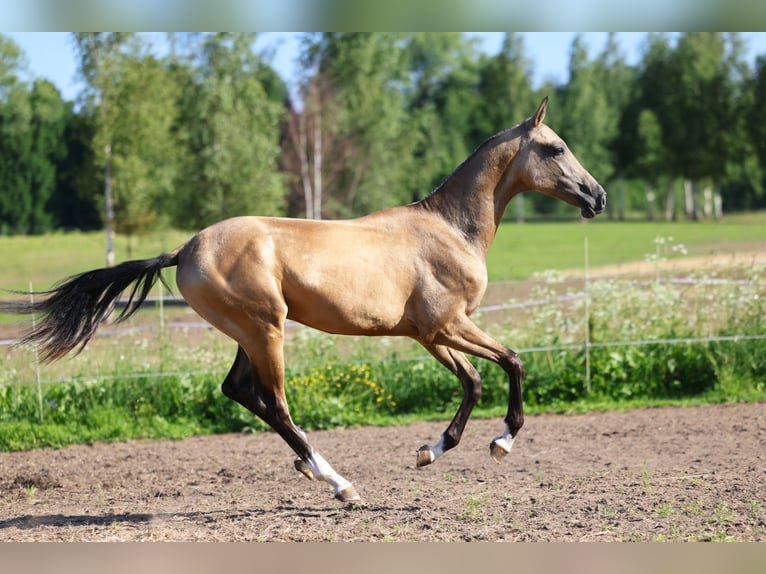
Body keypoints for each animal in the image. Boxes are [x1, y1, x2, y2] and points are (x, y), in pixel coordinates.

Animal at [3, 99, 608, 504]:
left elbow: (473, 381)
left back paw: (313, 471)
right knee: (274, 403)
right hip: (267, 331)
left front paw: (431, 450)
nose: (597, 196)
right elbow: (512, 361)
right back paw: (338, 483)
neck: (450, 229)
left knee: (237, 391)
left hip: (249, 333)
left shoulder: (430, 334)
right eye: (554, 148)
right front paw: (503, 441)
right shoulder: (448, 326)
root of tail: (184, 250)